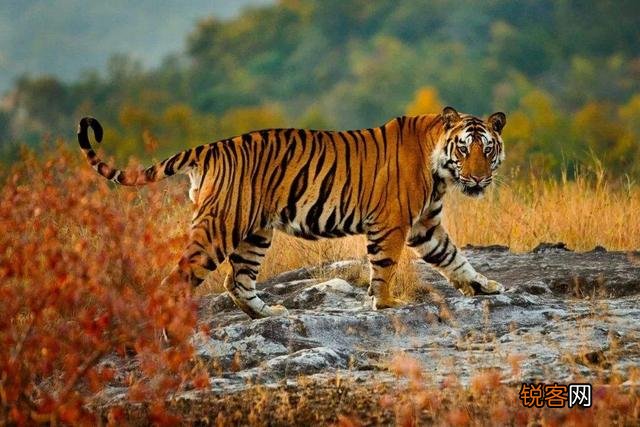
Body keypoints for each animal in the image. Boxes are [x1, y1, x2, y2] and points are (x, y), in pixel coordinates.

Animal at [77, 106, 507, 319]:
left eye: (487, 150)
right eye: (464, 149)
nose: (478, 178)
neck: (440, 171)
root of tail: (210, 147)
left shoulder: (425, 225)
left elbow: (454, 257)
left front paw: (484, 286)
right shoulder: (392, 223)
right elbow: (384, 267)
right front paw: (385, 304)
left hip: (254, 233)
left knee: (237, 281)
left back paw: (269, 314)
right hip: (219, 228)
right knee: (176, 280)